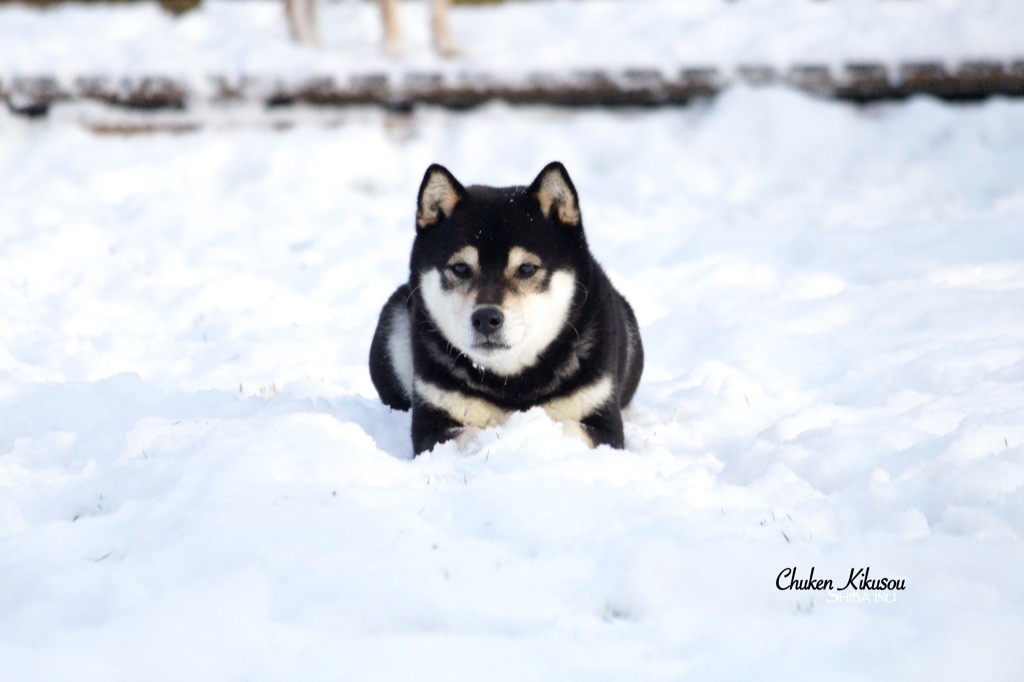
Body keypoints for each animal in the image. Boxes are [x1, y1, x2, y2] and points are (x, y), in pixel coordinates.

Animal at [368, 161, 643, 454]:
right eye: (460, 268)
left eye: (526, 268)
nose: (486, 318)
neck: (512, 384)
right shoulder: (433, 421)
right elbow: (470, 436)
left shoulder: (605, 423)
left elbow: (569, 428)